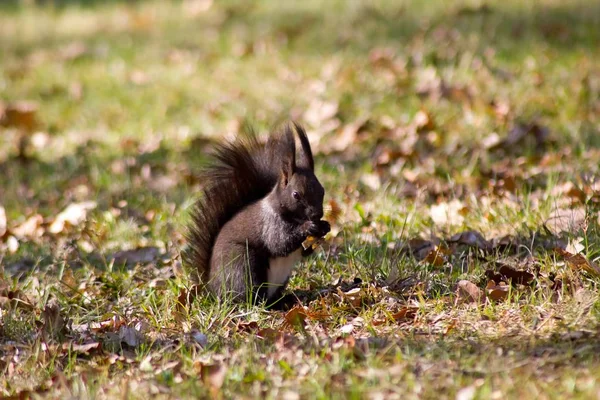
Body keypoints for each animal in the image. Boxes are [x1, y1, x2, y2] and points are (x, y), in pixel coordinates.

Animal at [185, 122, 330, 306]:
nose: (317, 214)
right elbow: (279, 243)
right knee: (250, 296)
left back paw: (284, 300)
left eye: (322, 190)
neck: (293, 217)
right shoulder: (270, 223)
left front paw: (325, 226)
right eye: (296, 195)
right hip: (243, 264)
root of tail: (213, 291)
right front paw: (308, 227)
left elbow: (303, 251)